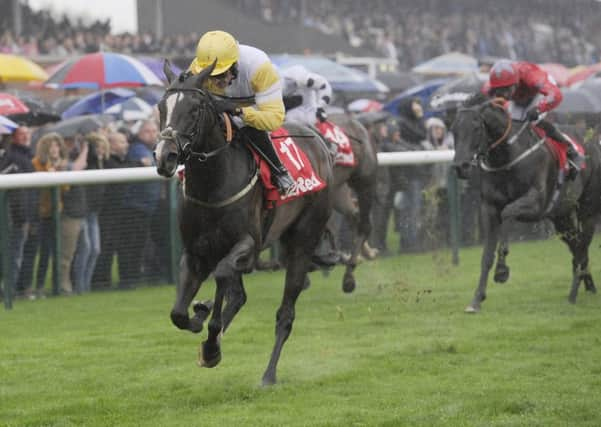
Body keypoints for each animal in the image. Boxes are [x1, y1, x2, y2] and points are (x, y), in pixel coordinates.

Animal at [154, 61, 332, 386]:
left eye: (195, 109)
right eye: (161, 107)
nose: (165, 156)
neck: (213, 184)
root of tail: (317, 139)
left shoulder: (248, 245)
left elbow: (223, 275)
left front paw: (211, 342)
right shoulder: (195, 251)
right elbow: (178, 314)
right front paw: (200, 318)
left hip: (302, 241)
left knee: (285, 313)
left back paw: (269, 374)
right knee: (238, 295)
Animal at [450, 95, 600, 312]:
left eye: (476, 127)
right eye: (453, 129)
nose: (460, 167)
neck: (509, 155)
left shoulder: (536, 203)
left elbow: (508, 213)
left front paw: (502, 271)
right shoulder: (489, 208)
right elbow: (486, 255)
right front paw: (476, 300)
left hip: (588, 211)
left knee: (581, 248)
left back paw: (572, 294)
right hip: (561, 217)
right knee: (578, 247)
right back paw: (588, 286)